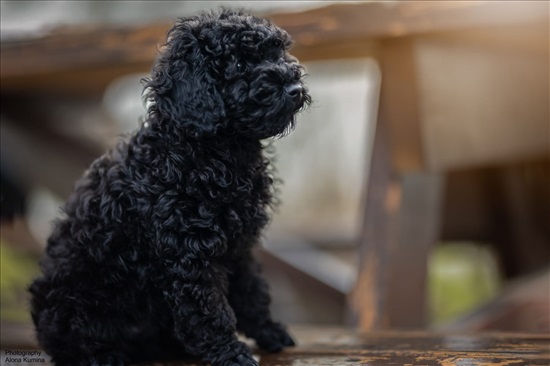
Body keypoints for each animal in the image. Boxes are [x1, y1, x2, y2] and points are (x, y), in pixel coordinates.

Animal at [30, 9, 312, 366]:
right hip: (75, 303)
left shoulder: (239, 246)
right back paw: (106, 355)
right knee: (73, 342)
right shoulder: (189, 252)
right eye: (237, 63)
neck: (214, 155)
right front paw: (230, 352)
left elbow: (252, 290)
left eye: (276, 53)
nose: (294, 87)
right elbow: (210, 308)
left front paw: (269, 332)